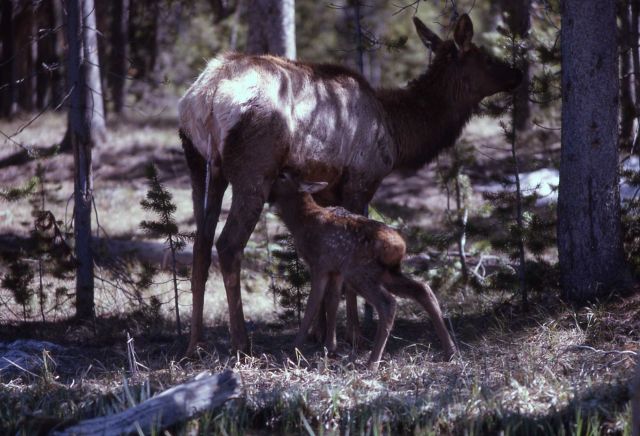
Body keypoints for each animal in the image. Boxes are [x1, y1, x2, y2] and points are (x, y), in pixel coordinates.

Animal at [179, 13, 520, 356]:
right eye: (486, 58)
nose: (517, 73)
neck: (397, 132)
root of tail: (206, 96)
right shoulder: (360, 179)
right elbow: (348, 272)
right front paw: (354, 336)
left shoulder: (326, 189)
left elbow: (328, 271)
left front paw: (320, 334)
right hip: (253, 171)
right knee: (228, 245)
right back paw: (240, 342)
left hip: (202, 167)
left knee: (200, 246)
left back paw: (195, 344)